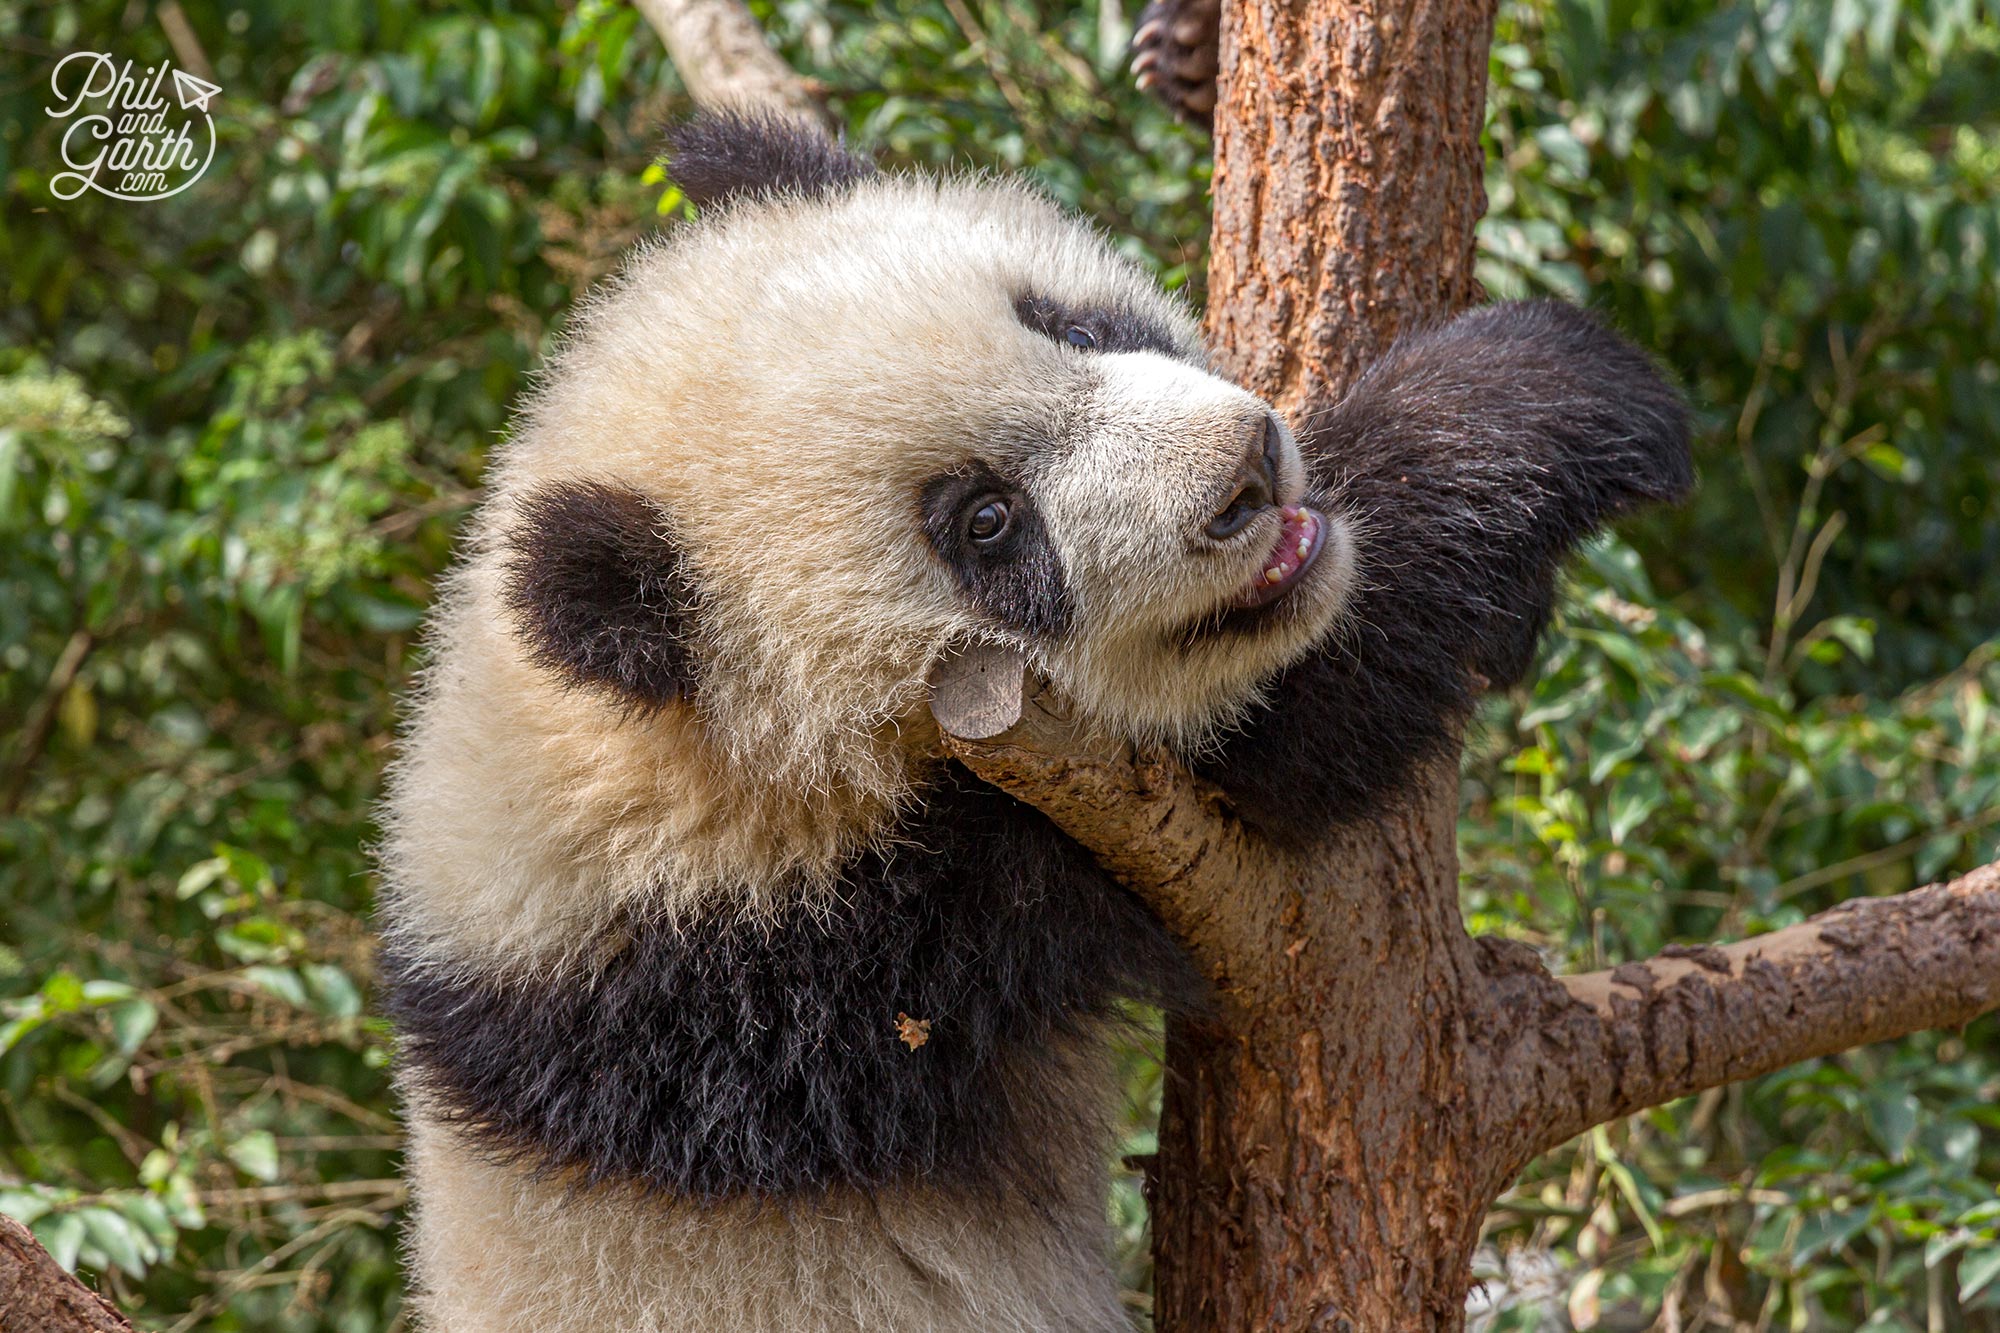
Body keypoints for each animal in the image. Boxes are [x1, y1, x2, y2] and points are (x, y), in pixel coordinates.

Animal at [376, 111, 1688, 1328]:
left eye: (1072, 325)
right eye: (987, 525)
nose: (1246, 474)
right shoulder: (844, 946)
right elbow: (1282, 738)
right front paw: (1530, 390)